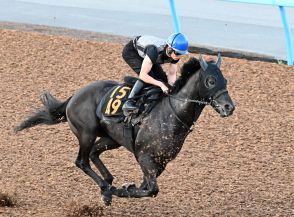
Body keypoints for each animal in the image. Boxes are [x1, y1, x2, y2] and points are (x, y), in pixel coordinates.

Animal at [16, 53, 235, 205]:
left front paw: (125, 187)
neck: (172, 114)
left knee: (94, 153)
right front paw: (119, 190)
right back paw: (106, 188)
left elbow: (146, 187)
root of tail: (74, 96)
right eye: (211, 81)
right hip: (86, 133)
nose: (229, 107)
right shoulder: (145, 157)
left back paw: (108, 182)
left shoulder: (161, 162)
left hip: (111, 138)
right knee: (82, 161)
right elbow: (151, 190)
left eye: (225, 81)